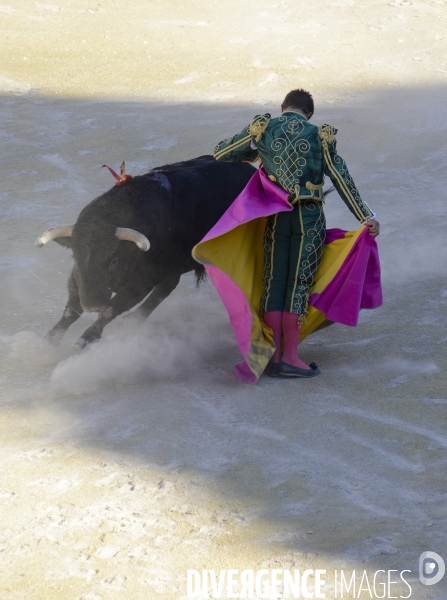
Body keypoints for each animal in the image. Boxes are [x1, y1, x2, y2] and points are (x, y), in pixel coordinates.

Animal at [36, 157, 256, 350]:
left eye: (114, 260)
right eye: (75, 256)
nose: (92, 305)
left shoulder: (141, 283)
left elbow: (111, 309)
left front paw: (85, 339)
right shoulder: (78, 278)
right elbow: (71, 310)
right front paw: (49, 340)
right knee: (165, 289)